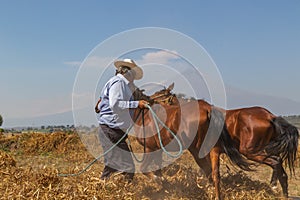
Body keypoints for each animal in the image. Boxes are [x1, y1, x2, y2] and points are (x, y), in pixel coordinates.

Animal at [149, 83, 298, 198]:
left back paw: (275, 186)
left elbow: (210, 172)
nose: (149, 101)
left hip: (251, 151)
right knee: (279, 167)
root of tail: (270, 116)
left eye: (159, 96)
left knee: (276, 161)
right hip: (266, 149)